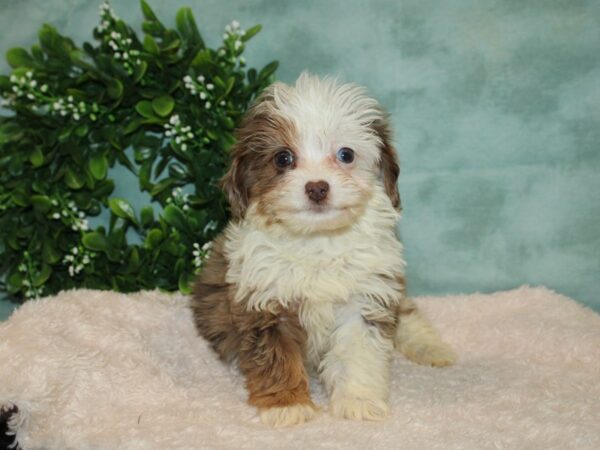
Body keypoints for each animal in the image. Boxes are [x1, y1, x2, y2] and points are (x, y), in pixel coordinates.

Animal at [192, 72, 454, 428]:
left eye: (346, 155)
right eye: (283, 158)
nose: (317, 187)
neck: (317, 240)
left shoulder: (365, 294)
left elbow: (359, 352)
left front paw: (358, 400)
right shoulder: (264, 301)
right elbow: (275, 356)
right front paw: (287, 405)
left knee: (407, 312)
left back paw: (432, 348)